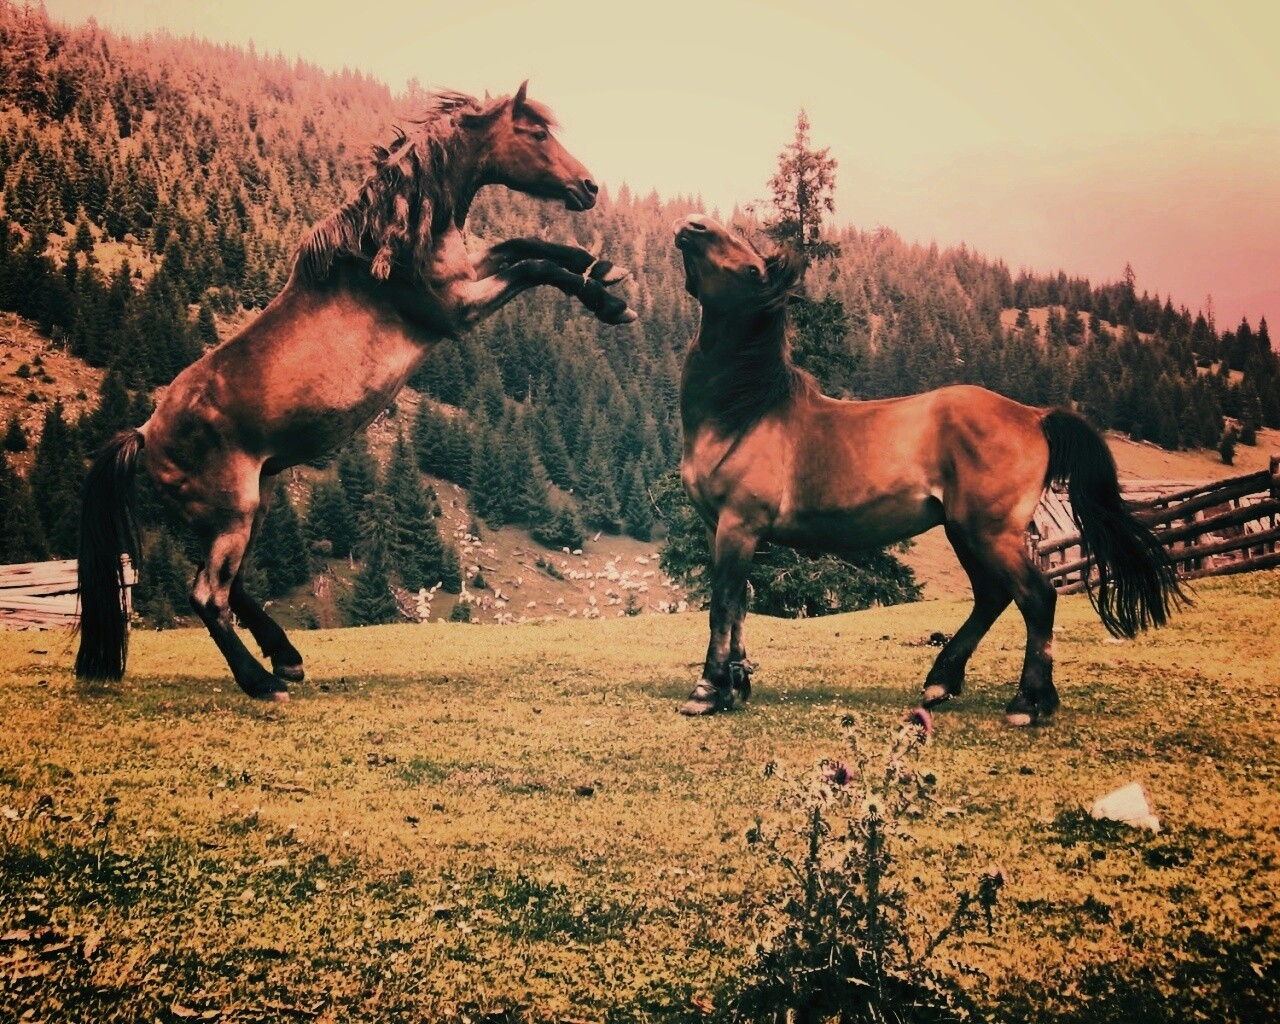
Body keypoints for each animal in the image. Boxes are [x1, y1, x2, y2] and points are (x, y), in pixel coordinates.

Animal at [75, 83, 636, 701]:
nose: (589, 186)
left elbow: (523, 242)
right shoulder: (457, 309)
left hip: (250, 505)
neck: (389, 243)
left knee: (235, 585)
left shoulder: (470, 272)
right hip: (232, 512)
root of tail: (145, 434)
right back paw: (262, 682)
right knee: (208, 596)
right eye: (535, 133)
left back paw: (287, 658)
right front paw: (610, 301)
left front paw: (602, 267)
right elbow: (533, 265)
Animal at [671, 214, 1186, 724]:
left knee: (1037, 598)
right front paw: (737, 684)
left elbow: (722, 607)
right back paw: (942, 682)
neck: (745, 413)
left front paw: (707, 691)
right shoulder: (728, 529)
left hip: (990, 533)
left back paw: (1028, 701)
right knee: (992, 597)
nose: (692, 225)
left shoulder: (738, 525)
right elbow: (740, 607)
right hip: (964, 533)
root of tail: (1034, 415)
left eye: (752, 270)